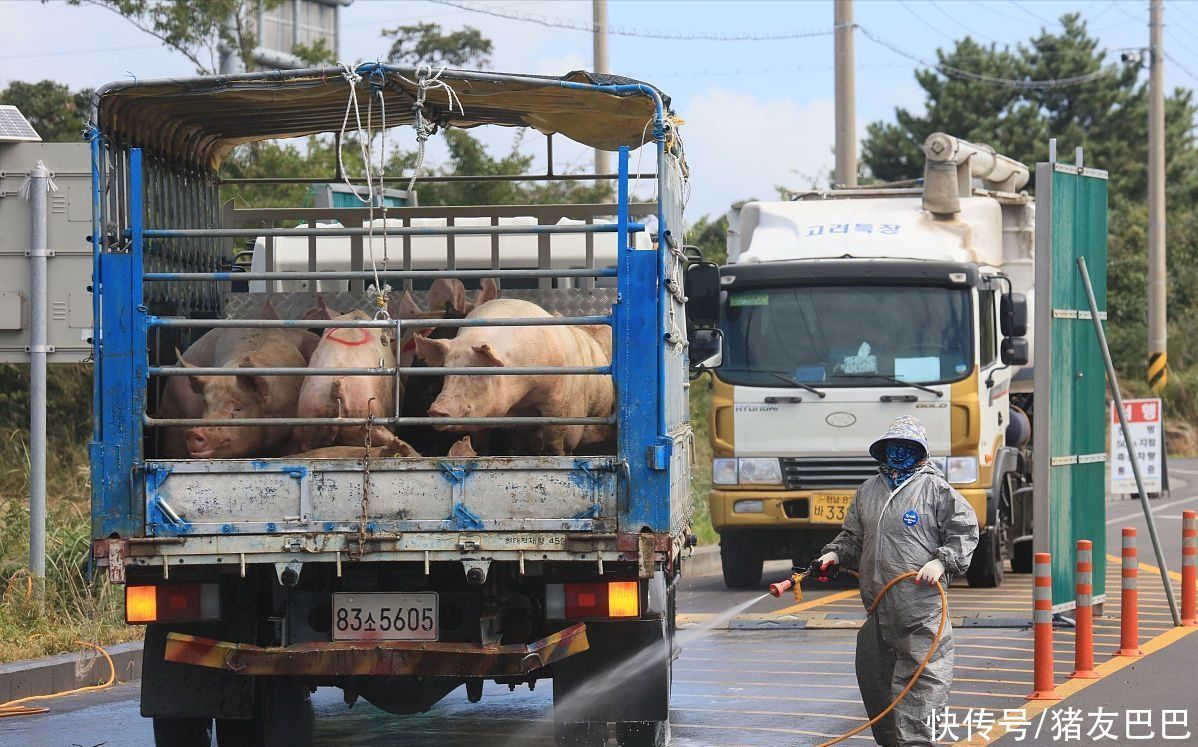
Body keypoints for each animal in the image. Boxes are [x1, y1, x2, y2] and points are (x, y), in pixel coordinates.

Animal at [414, 299, 618, 454]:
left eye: (477, 371)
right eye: (446, 371)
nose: (436, 410)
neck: (519, 401)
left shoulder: (556, 398)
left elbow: (554, 438)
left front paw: (555, 455)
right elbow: (480, 443)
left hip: (599, 411)